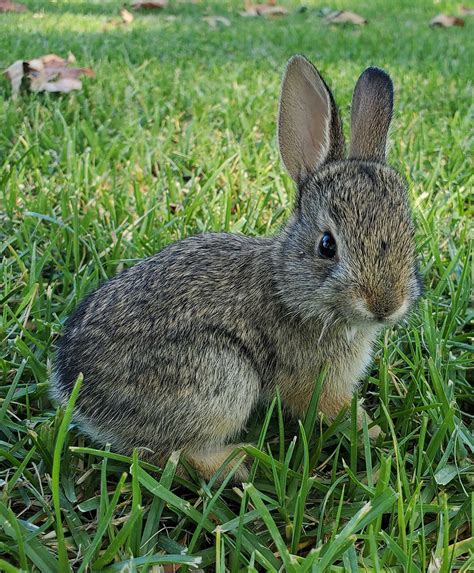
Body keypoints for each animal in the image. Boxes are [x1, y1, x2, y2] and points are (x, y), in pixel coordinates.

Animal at [52, 55, 422, 480]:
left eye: (408, 231)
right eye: (327, 246)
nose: (386, 305)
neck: (286, 286)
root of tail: (75, 389)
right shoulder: (313, 381)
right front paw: (375, 433)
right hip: (222, 377)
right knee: (168, 456)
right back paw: (241, 461)